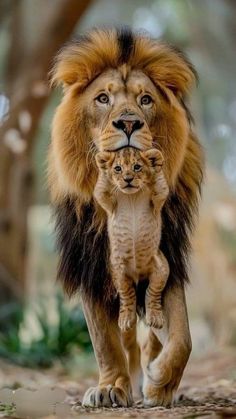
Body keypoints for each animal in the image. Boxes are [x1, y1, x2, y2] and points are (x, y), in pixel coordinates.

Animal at [47, 27, 203, 408]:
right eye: (103, 99)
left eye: (145, 100)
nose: (129, 122)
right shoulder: (91, 263)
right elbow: (105, 340)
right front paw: (111, 387)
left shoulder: (166, 257)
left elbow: (183, 337)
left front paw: (160, 384)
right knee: (127, 332)